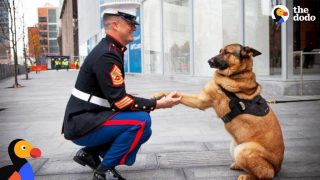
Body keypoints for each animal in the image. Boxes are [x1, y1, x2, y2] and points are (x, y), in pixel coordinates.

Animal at [153, 44, 284, 180]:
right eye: (219, 51)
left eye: (227, 52)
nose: (209, 61)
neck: (237, 73)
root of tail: (277, 167)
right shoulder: (200, 100)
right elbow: (176, 93)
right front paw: (159, 95)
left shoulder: (200, 101)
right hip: (234, 146)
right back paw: (238, 165)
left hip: (242, 150)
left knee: (266, 174)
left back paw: (247, 176)